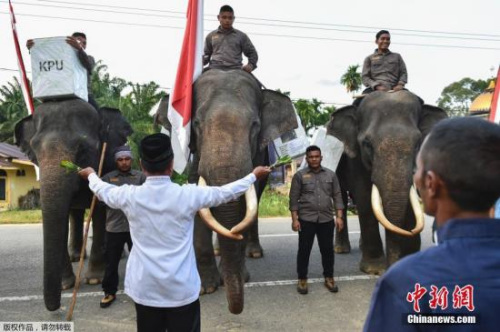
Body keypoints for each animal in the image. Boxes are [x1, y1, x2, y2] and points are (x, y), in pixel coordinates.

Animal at [14, 99, 133, 312]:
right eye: (34, 149)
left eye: (83, 148)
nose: (56, 308)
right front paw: (65, 285)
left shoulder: (105, 165)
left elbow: (100, 209)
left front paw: (94, 280)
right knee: (74, 214)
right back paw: (76, 256)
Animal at [156, 68, 296, 314]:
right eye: (197, 123)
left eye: (255, 125)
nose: (236, 309)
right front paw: (207, 287)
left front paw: (240, 275)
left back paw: (253, 251)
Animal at [326, 91, 448, 274]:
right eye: (367, 144)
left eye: (418, 143)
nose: (393, 266)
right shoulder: (355, 158)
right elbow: (365, 199)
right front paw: (374, 269)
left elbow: (409, 202)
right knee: (342, 199)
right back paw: (341, 249)